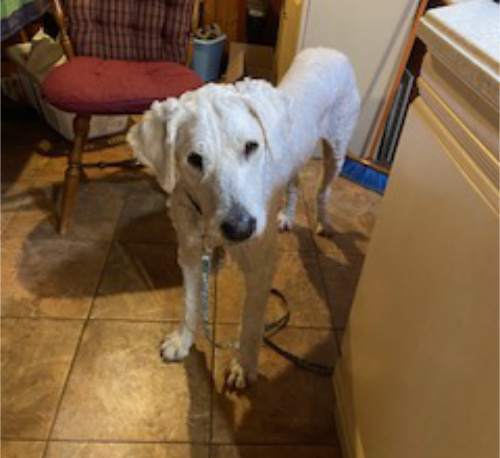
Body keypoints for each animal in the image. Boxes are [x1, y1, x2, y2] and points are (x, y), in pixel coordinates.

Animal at [127, 48, 358, 388]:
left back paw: (324, 223)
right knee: (294, 184)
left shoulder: (261, 266)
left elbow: (250, 322)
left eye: (251, 146)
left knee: (323, 191)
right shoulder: (191, 252)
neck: (205, 218)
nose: (240, 229)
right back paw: (286, 217)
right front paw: (183, 340)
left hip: (337, 149)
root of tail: (330, 51)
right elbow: (190, 301)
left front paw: (243, 366)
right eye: (194, 159)